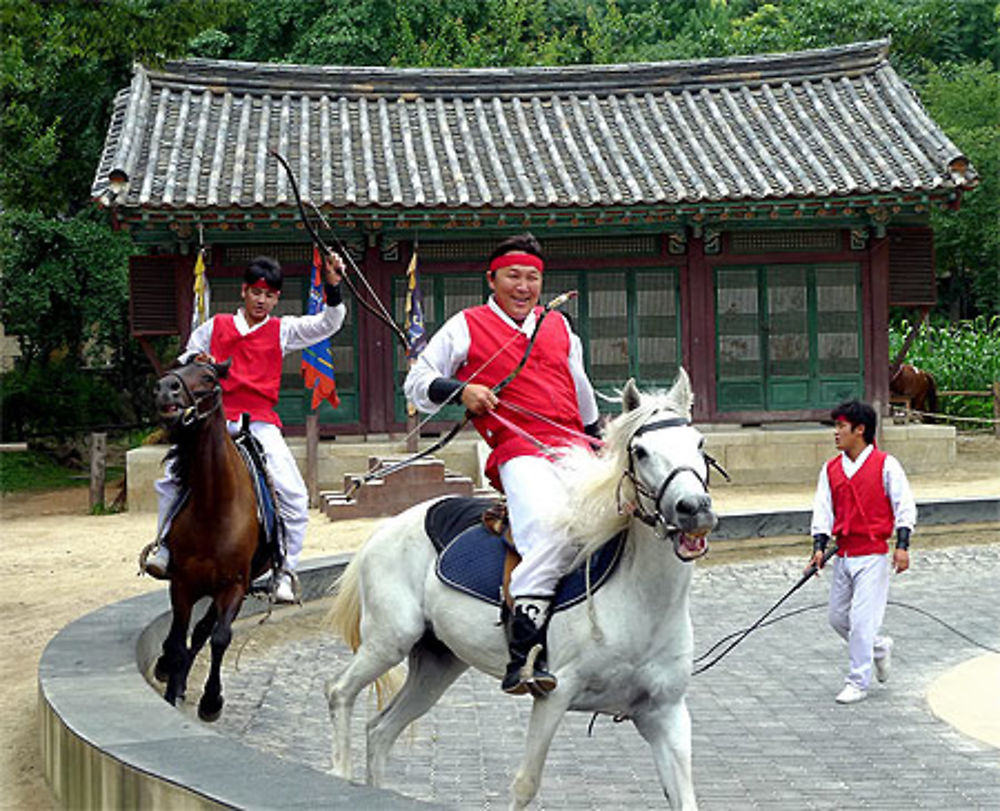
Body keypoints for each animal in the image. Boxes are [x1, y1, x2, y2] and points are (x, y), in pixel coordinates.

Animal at [150, 358, 268, 720]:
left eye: (208, 377)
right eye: (176, 368)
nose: (164, 389)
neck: (213, 506)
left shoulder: (234, 585)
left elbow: (219, 638)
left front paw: (211, 700)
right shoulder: (182, 583)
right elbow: (177, 641)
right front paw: (171, 688)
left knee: (206, 631)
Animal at [328, 372, 720, 808]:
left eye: (699, 443)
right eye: (641, 451)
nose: (693, 508)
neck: (641, 602)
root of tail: (386, 527)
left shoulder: (665, 714)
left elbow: (685, 797)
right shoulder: (553, 696)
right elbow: (525, 785)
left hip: (436, 665)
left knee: (380, 732)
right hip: (387, 642)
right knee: (340, 693)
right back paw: (339, 773)